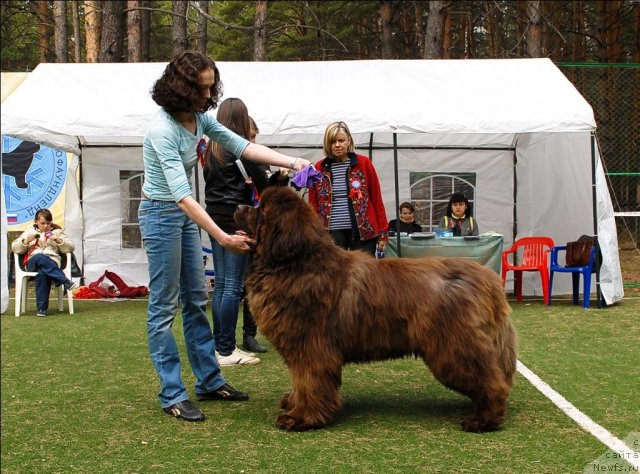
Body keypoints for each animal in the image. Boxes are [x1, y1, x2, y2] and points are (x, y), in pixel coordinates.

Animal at [234, 186, 516, 434]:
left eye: (261, 209)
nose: (237, 206)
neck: (294, 264)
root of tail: (484, 277)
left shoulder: (311, 346)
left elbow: (310, 382)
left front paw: (302, 417)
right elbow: (301, 382)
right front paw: (294, 402)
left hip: (453, 346)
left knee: (491, 381)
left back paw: (483, 420)